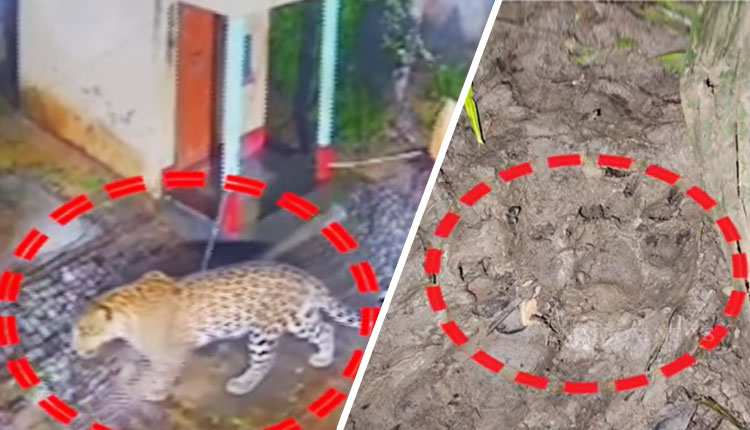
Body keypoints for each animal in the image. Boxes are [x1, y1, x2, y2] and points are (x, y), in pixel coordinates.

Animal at [71, 261, 360, 402]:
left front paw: (155, 392)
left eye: (87, 330)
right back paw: (323, 357)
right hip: (299, 318)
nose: (77, 350)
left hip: (264, 330)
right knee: (325, 328)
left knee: (264, 361)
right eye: (78, 331)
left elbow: (162, 374)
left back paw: (243, 384)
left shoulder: (170, 355)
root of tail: (303, 276)